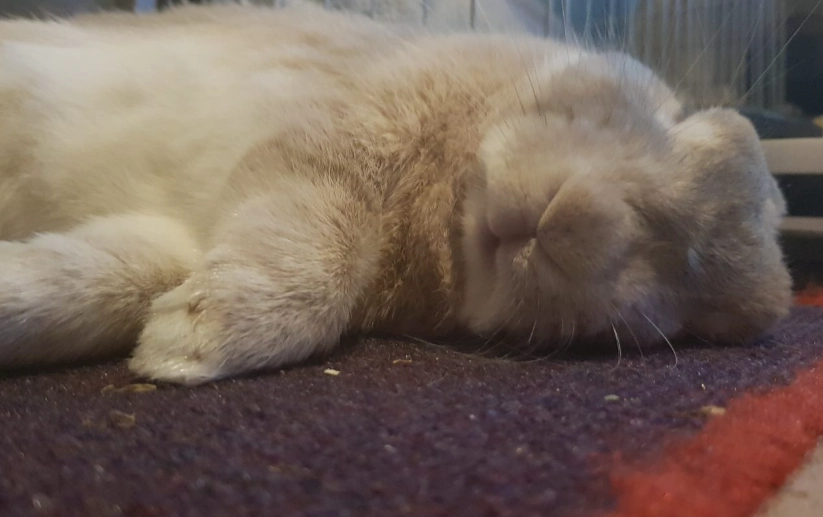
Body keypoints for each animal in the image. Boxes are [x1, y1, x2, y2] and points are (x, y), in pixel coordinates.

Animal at [0, 2, 792, 385]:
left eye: (684, 323)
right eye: (675, 120)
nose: (568, 229)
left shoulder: (178, 234)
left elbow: (102, 281)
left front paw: (172, 340)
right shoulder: (332, 134)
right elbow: (323, 247)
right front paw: (197, 343)